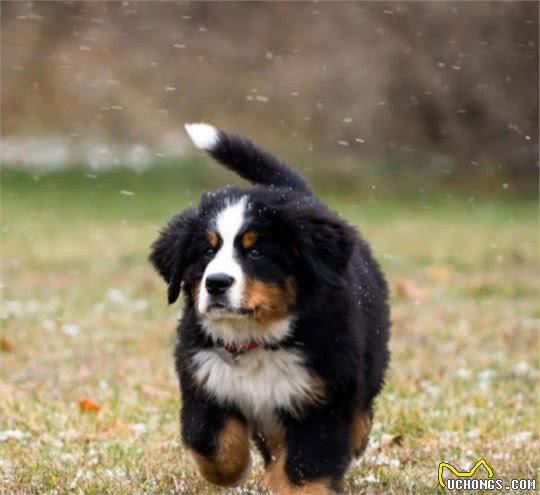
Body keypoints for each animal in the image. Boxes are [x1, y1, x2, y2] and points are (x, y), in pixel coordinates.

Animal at [150, 124, 390, 495]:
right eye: (206, 251)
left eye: (256, 252)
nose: (216, 282)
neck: (256, 339)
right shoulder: (204, 381)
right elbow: (211, 444)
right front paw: (233, 471)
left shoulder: (321, 397)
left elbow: (305, 468)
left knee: (361, 410)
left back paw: (356, 438)